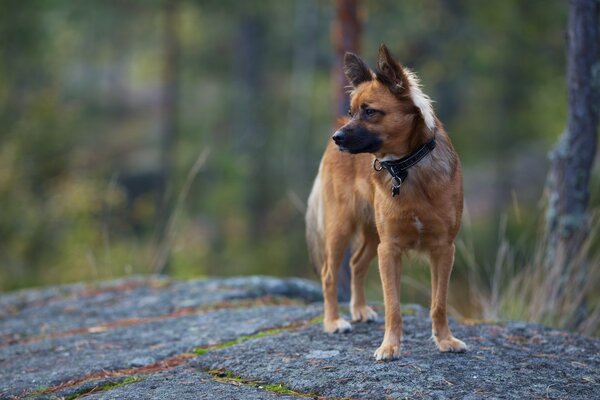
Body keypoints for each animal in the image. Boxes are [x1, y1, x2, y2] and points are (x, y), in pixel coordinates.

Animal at [308, 43, 466, 360]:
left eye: (370, 112)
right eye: (351, 111)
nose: (336, 138)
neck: (407, 167)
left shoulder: (444, 249)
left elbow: (439, 302)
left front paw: (445, 339)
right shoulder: (390, 249)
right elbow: (394, 306)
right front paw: (390, 346)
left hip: (372, 234)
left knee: (356, 263)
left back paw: (359, 309)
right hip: (341, 226)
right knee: (329, 273)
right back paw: (333, 321)